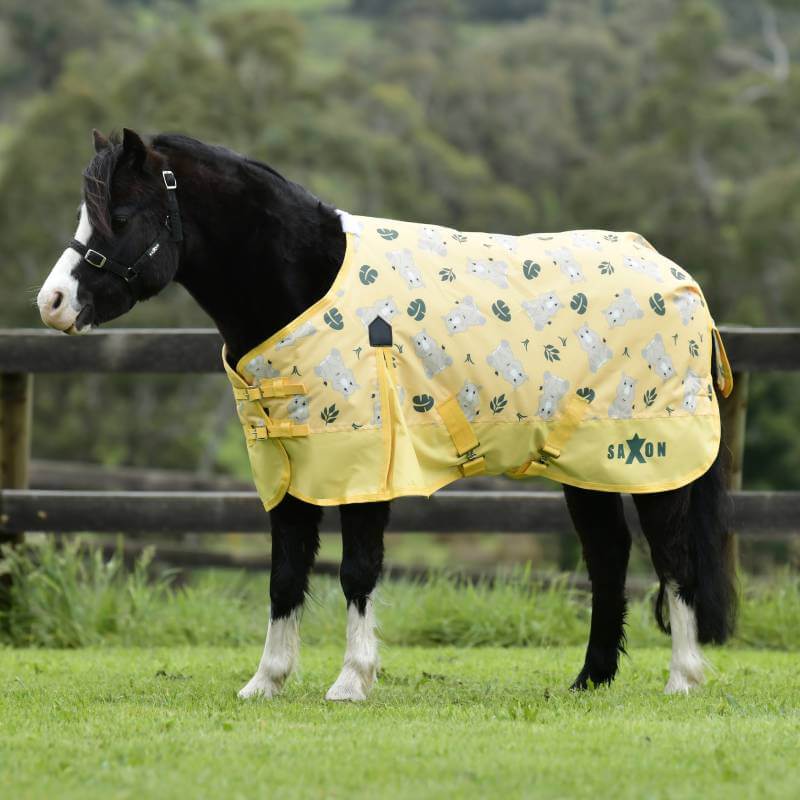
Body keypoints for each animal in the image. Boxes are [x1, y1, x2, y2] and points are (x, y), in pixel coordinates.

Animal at [37, 129, 737, 700]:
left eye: (119, 214)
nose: (52, 302)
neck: (306, 284)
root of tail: (678, 278)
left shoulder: (366, 466)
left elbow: (357, 571)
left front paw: (351, 680)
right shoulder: (287, 469)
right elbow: (284, 575)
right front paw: (266, 681)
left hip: (652, 462)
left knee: (673, 559)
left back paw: (682, 678)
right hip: (583, 464)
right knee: (608, 556)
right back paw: (591, 679)